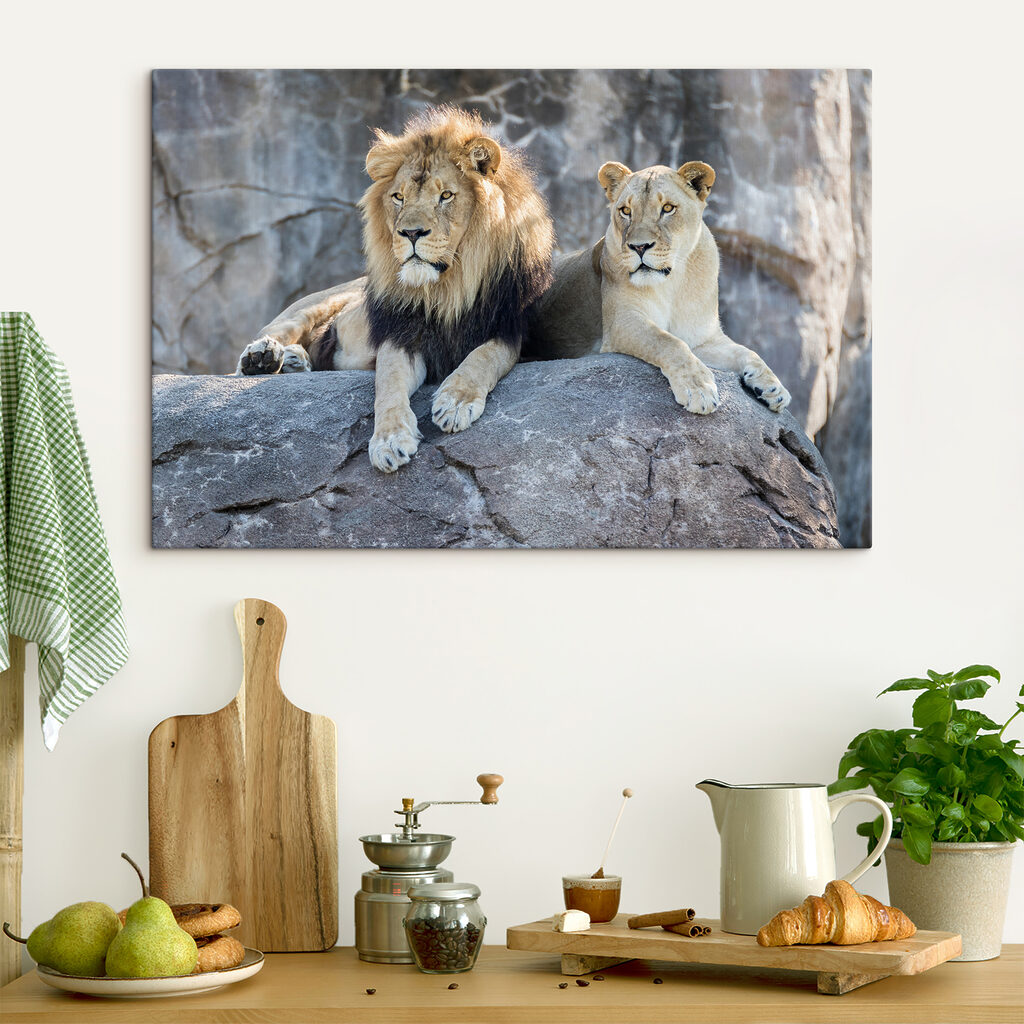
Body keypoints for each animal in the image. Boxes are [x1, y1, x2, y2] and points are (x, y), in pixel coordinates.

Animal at [235, 106, 554, 473]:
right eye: (398, 197)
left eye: (446, 195)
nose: (411, 233)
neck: (447, 288)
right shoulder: (400, 334)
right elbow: (387, 383)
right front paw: (389, 441)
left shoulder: (509, 329)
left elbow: (484, 357)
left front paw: (455, 402)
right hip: (312, 305)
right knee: (272, 335)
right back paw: (263, 357)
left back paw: (293, 361)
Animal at [527, 160, 791, 416]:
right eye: (626, 211)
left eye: (667, 208)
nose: (639, 247)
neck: (673, 283)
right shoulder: (622, 322)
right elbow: (668, 342)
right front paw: (699, 389)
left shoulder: (703, 338)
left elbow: (747, 352)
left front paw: (773, 387)